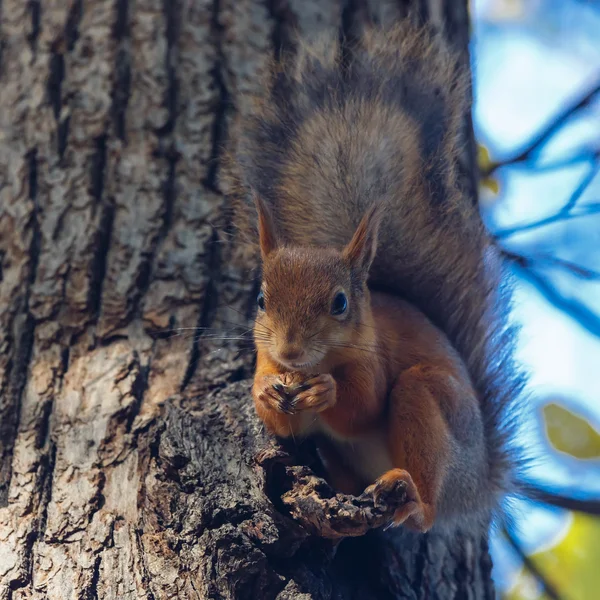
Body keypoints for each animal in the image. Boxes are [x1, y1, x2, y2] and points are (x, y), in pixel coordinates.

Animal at [227, 19, 524, 536]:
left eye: (340, 303)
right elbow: (281, 421)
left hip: (429, 404)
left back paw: (412, 499)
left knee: (425, 506)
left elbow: (361, 404)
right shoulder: (266, 360)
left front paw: (327, 390)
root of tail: (477, 487)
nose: (290, 351)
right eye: (262, 300)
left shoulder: (375, 358)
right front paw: (264, 391)